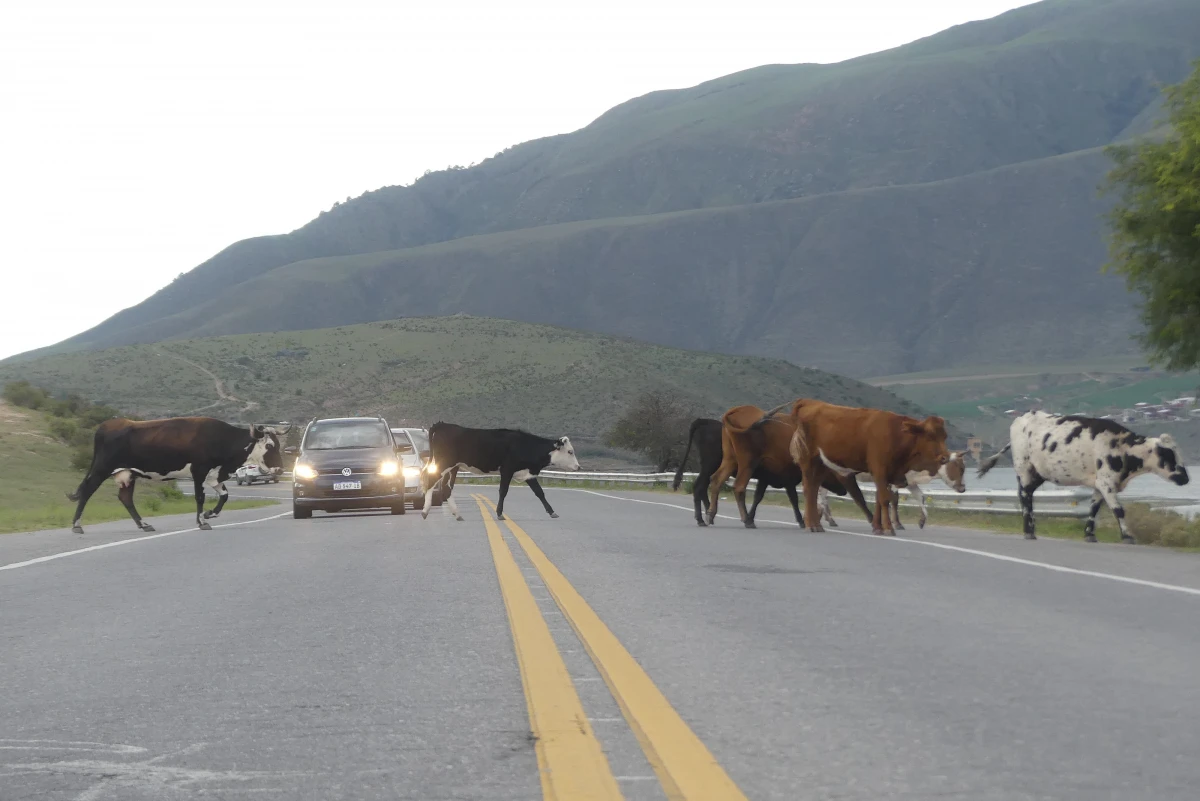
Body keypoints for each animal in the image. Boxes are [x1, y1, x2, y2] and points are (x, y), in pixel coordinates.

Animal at [66, 417, 288, 534]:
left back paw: (144, 524)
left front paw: (209, 514)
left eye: (279, 445)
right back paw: (76, 525)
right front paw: (202, 521)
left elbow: (224, 496)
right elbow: (200, 497)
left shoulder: (214, 474)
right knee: (87, 490)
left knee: (125, 498)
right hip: (102, 468)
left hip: (128, 473)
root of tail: (110, 424)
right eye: (269, 446)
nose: (280, 469)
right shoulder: (199, 471)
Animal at [422, 422, 580, 522]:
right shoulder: (507, 470)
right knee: (431, 481)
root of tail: (443, 425)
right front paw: (499, 513)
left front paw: (552, 512)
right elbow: (503, 491)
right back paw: (425, 511)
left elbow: (539, 492)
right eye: (570, 452)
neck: (524, 444)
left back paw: (457, 514)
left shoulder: (527, 473)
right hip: (444, 464)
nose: (578, 467)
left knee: (447, 488)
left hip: (453, 467)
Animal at [676, 417, 873, 527]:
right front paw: (802, 520)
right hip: (712, 465)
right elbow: (792, 499)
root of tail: (704, 421)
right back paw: (704, 518)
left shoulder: (772, 479)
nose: (844, 490)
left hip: (717, 465)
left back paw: (708, 515)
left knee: (708, 484)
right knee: (704, 487)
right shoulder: (785, 478)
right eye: (835, 474)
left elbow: (762, 497)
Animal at [792, 400, 950, 537]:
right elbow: (885, 499)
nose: (945, 457)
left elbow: (881, 499)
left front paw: (879, 527)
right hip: (808, 462)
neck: (896, 435)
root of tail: (809, 402)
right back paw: (811, 525)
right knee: (809, 490)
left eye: (944, 436)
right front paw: (888, 528)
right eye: (930, 436)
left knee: (814, 491)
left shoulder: (888, 476)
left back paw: (816, 524)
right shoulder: (880, 471)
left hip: (821, 466)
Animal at [974, 412, 1190, 544]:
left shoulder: (1099, 484)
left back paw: (1030, 529)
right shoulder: (1106, 482)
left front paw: (1090, 534)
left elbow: (1093, 509)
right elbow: (1118, 510)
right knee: (1025, 496)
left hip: (1038, 473)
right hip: (1024, 468)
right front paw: (1127, 536)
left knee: (1027, 495)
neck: (1122, 447)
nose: (1185, 478)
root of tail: (1023, 417)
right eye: (1169, 455)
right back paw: (1029, 531)